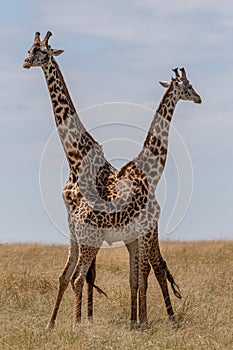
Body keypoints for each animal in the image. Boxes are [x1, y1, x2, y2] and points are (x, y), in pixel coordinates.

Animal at [24, 31, 202, 330]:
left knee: (146, 270)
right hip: (95, 238)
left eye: (41, 51)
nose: (199, 97)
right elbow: (133, 277)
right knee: (79, 276)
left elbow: (137, 277)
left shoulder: (135, 234)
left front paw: (135, 322)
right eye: (31, 49)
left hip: (102, 238)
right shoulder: (132, 233)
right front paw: (136, 322)